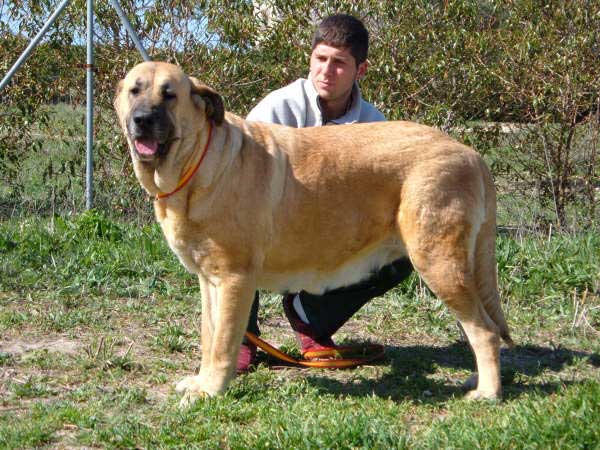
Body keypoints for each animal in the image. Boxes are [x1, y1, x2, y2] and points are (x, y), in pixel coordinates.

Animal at [115, 60, 512, 408]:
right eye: (135, 90)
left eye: (169, 95)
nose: (142, 120)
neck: (197, 162)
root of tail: (471, 154)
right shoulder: (210, 282)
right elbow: (209, 336)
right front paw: (202, 381)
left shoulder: (233, 278)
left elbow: (223, 342)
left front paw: (210, 391)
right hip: (454, 266)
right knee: (481, 326)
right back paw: (478, 380)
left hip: (438, 262)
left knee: (484, 330)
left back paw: (487, 392)